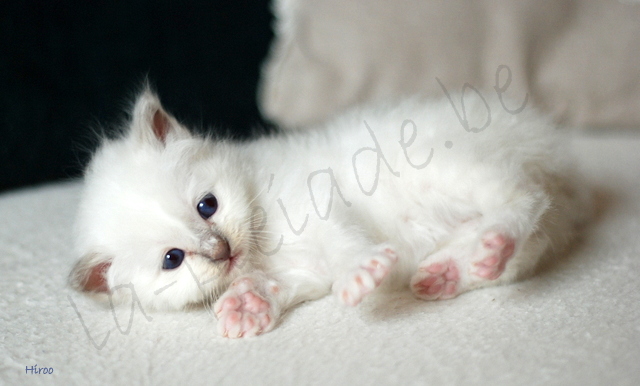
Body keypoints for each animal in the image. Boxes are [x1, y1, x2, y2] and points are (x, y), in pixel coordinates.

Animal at [70, 88, 592, 338]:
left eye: (207, 205)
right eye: (173, 260)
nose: (220, 251)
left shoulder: (317, 201)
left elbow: (344, 244)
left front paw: (362, 272)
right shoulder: (300, 270)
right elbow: (280, 284)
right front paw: (247, 306)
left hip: (447, 166)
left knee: (525, 196)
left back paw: (491, 239)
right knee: (525, 247)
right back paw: (456, 268)